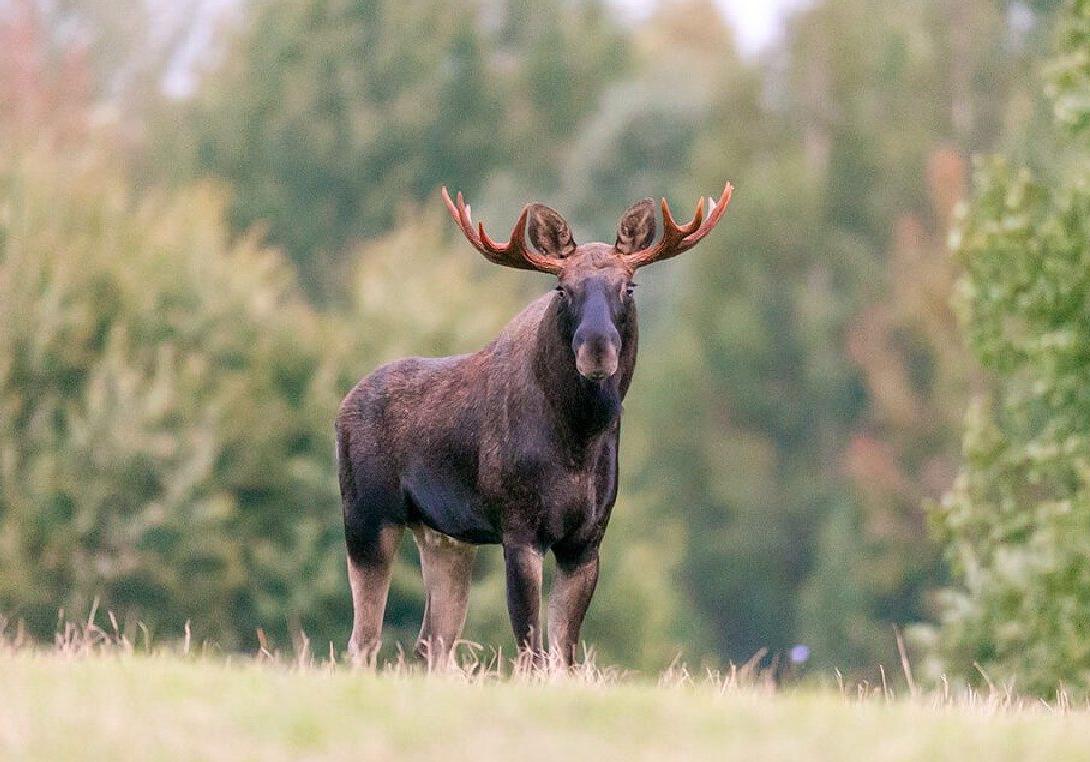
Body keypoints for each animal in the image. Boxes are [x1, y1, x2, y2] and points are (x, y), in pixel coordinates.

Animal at [333, 183, 732, 667]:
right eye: (562, 288)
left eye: (629, 287)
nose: (596, 349)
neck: (579, 440)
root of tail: (342, 406)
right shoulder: (520, 529)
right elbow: (531, 650)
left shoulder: (586, 540)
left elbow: (564, 654)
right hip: (368, 515)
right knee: (363, 639)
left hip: (444, 536)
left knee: (432, 641)